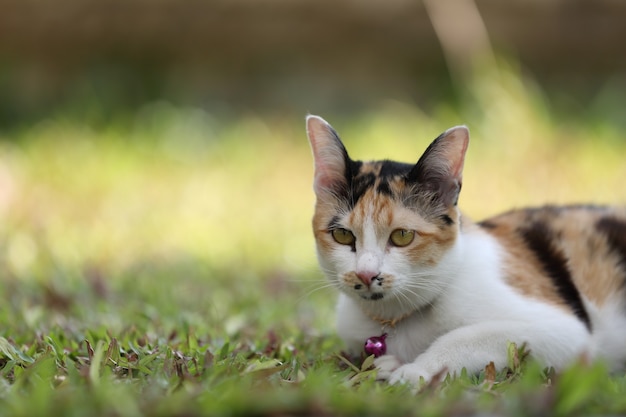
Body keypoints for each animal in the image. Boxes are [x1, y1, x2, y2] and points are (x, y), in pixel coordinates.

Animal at [306, 113, 624, 384]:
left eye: (403, 236)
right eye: (343, 235)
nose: (366, 274)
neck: (397, 320)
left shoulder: (564, 332)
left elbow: (465, 336)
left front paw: (416, 371)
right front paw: (383, 364)